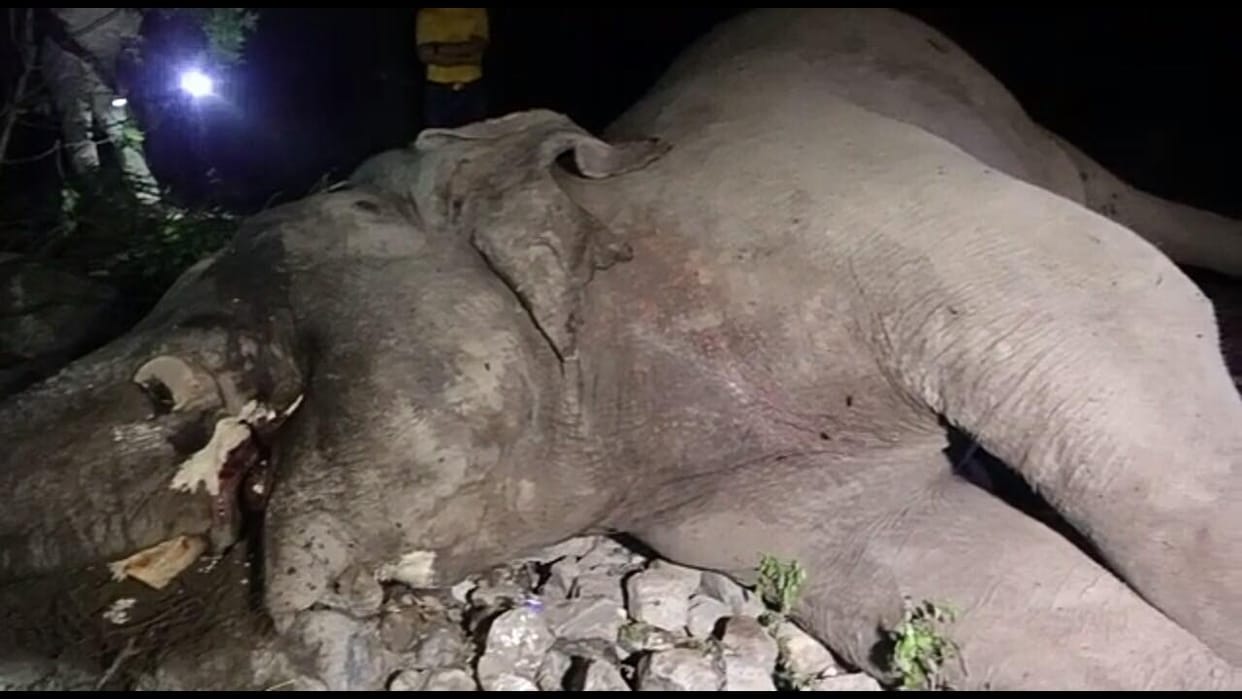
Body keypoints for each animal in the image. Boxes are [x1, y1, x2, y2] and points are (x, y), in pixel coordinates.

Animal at [1, 7, 1240, 691]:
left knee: (1117, 203)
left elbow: (1124, 320)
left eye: (170, 332)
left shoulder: (837, 206)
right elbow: (954, 584)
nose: (156, 377)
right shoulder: (726, 494)